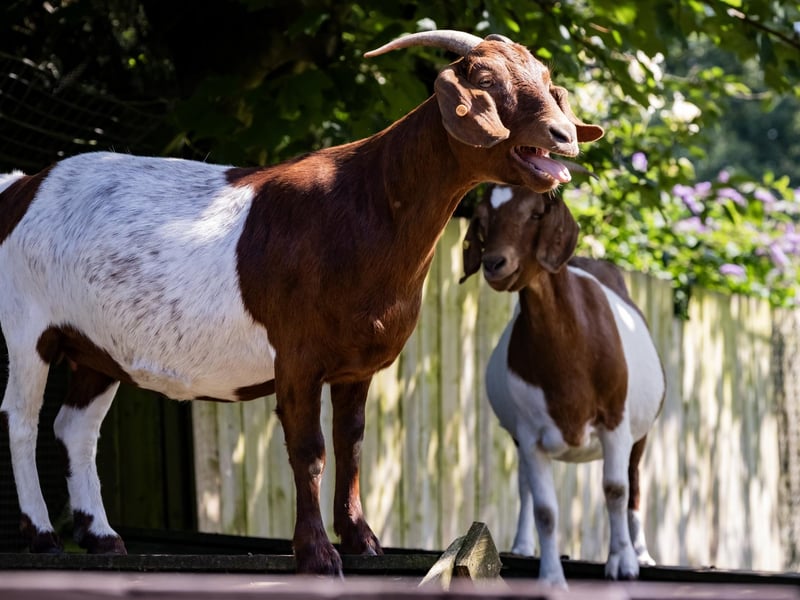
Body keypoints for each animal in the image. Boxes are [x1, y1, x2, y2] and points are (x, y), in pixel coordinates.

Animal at [0, 31, 603, 575]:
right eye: (486, 79)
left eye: (547, 81)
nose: (563, 135)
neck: (367, 204)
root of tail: (21, 187)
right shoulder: (297, 358)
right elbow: (308, 449)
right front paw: (316, 553)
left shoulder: (356, 366)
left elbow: (352, 444)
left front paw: (362, 541)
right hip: (29, 328)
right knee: (23, 420)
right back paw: (44, 536)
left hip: (96, 348)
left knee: (75, 428)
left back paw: (102, 537)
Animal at [460, 185, 664, 586]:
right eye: (483, 219)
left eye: (536, 213)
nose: (494, 263)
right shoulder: (529, 435)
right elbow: (545, 509)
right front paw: (552, 578)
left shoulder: (615, 423)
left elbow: (616, 490)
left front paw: (623, 563)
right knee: (525, 487)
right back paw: (522, 545)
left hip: (640, 433)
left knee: (633, 484)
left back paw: (642, 554)